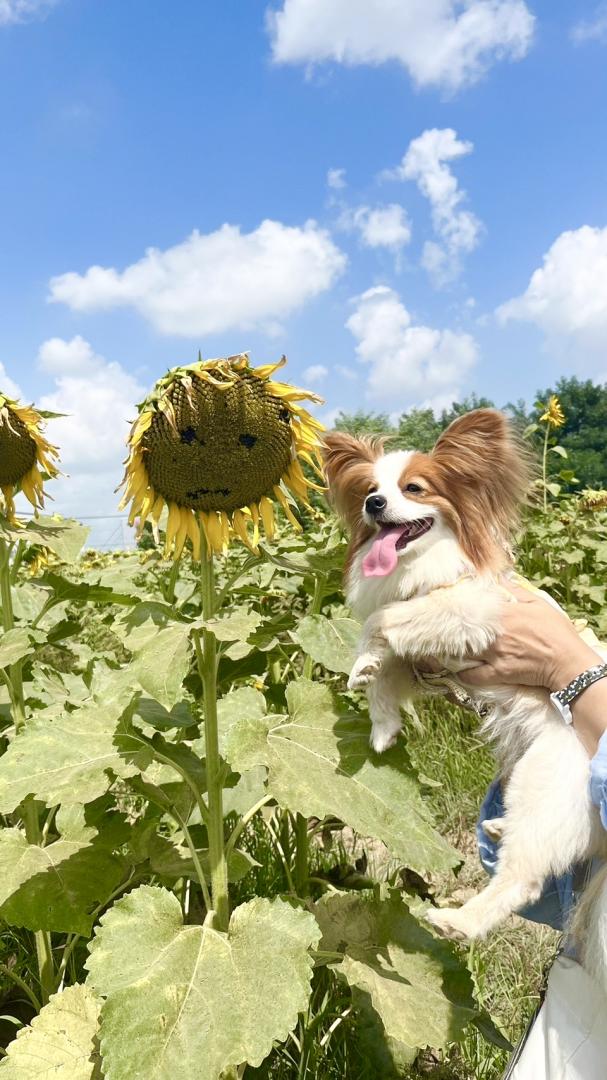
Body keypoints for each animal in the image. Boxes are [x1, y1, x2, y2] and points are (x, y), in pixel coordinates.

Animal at [319, 408, 604, 967]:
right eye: (369, 490)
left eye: (413, 488)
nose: (373, 504)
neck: (422, 570)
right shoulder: (427, 659)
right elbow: (387, 672)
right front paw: (382, 724)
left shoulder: (469, 616)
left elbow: (385, 618)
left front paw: (362, 659)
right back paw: (496, 827)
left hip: (546, 779)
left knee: (523, 878)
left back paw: (457, 921)